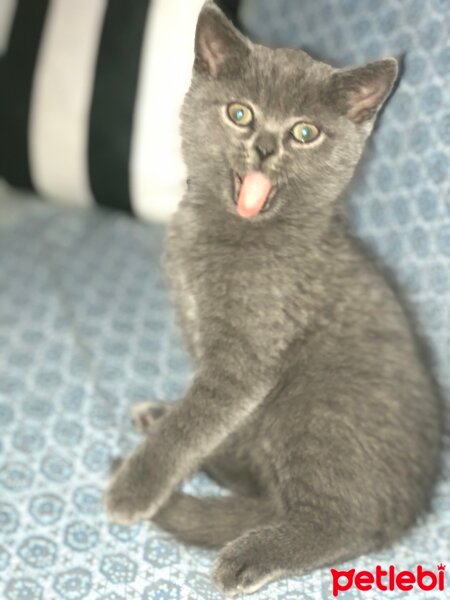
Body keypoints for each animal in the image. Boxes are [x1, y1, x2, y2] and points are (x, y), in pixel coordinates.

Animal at [104, 2, 440, 596]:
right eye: (240, 113)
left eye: (304, 132)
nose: (264, 147)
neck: (232, 231)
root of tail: (412, 504)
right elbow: (198, 418)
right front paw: (166, 425)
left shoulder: (245, 360)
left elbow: (192, 423)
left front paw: (134, 486)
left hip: (312, 409)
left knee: (343, 522)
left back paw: (249, 553)